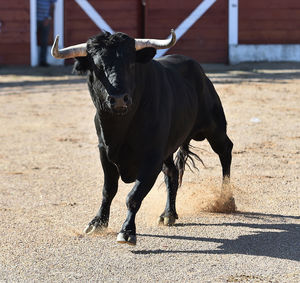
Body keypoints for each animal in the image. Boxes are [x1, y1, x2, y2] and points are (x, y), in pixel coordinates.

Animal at [57, 32, 233, 246]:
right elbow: (108, 190)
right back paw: (168, 214)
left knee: (225, 151)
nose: (119, 99)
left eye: (131, 63)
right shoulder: (104, 152)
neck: (120, 127)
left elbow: (134, 195)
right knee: (172, 172)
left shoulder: (152, 157)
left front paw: (127, 231)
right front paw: (97, 223)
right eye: (97, 67)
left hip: (214, 128)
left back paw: (227, 199)